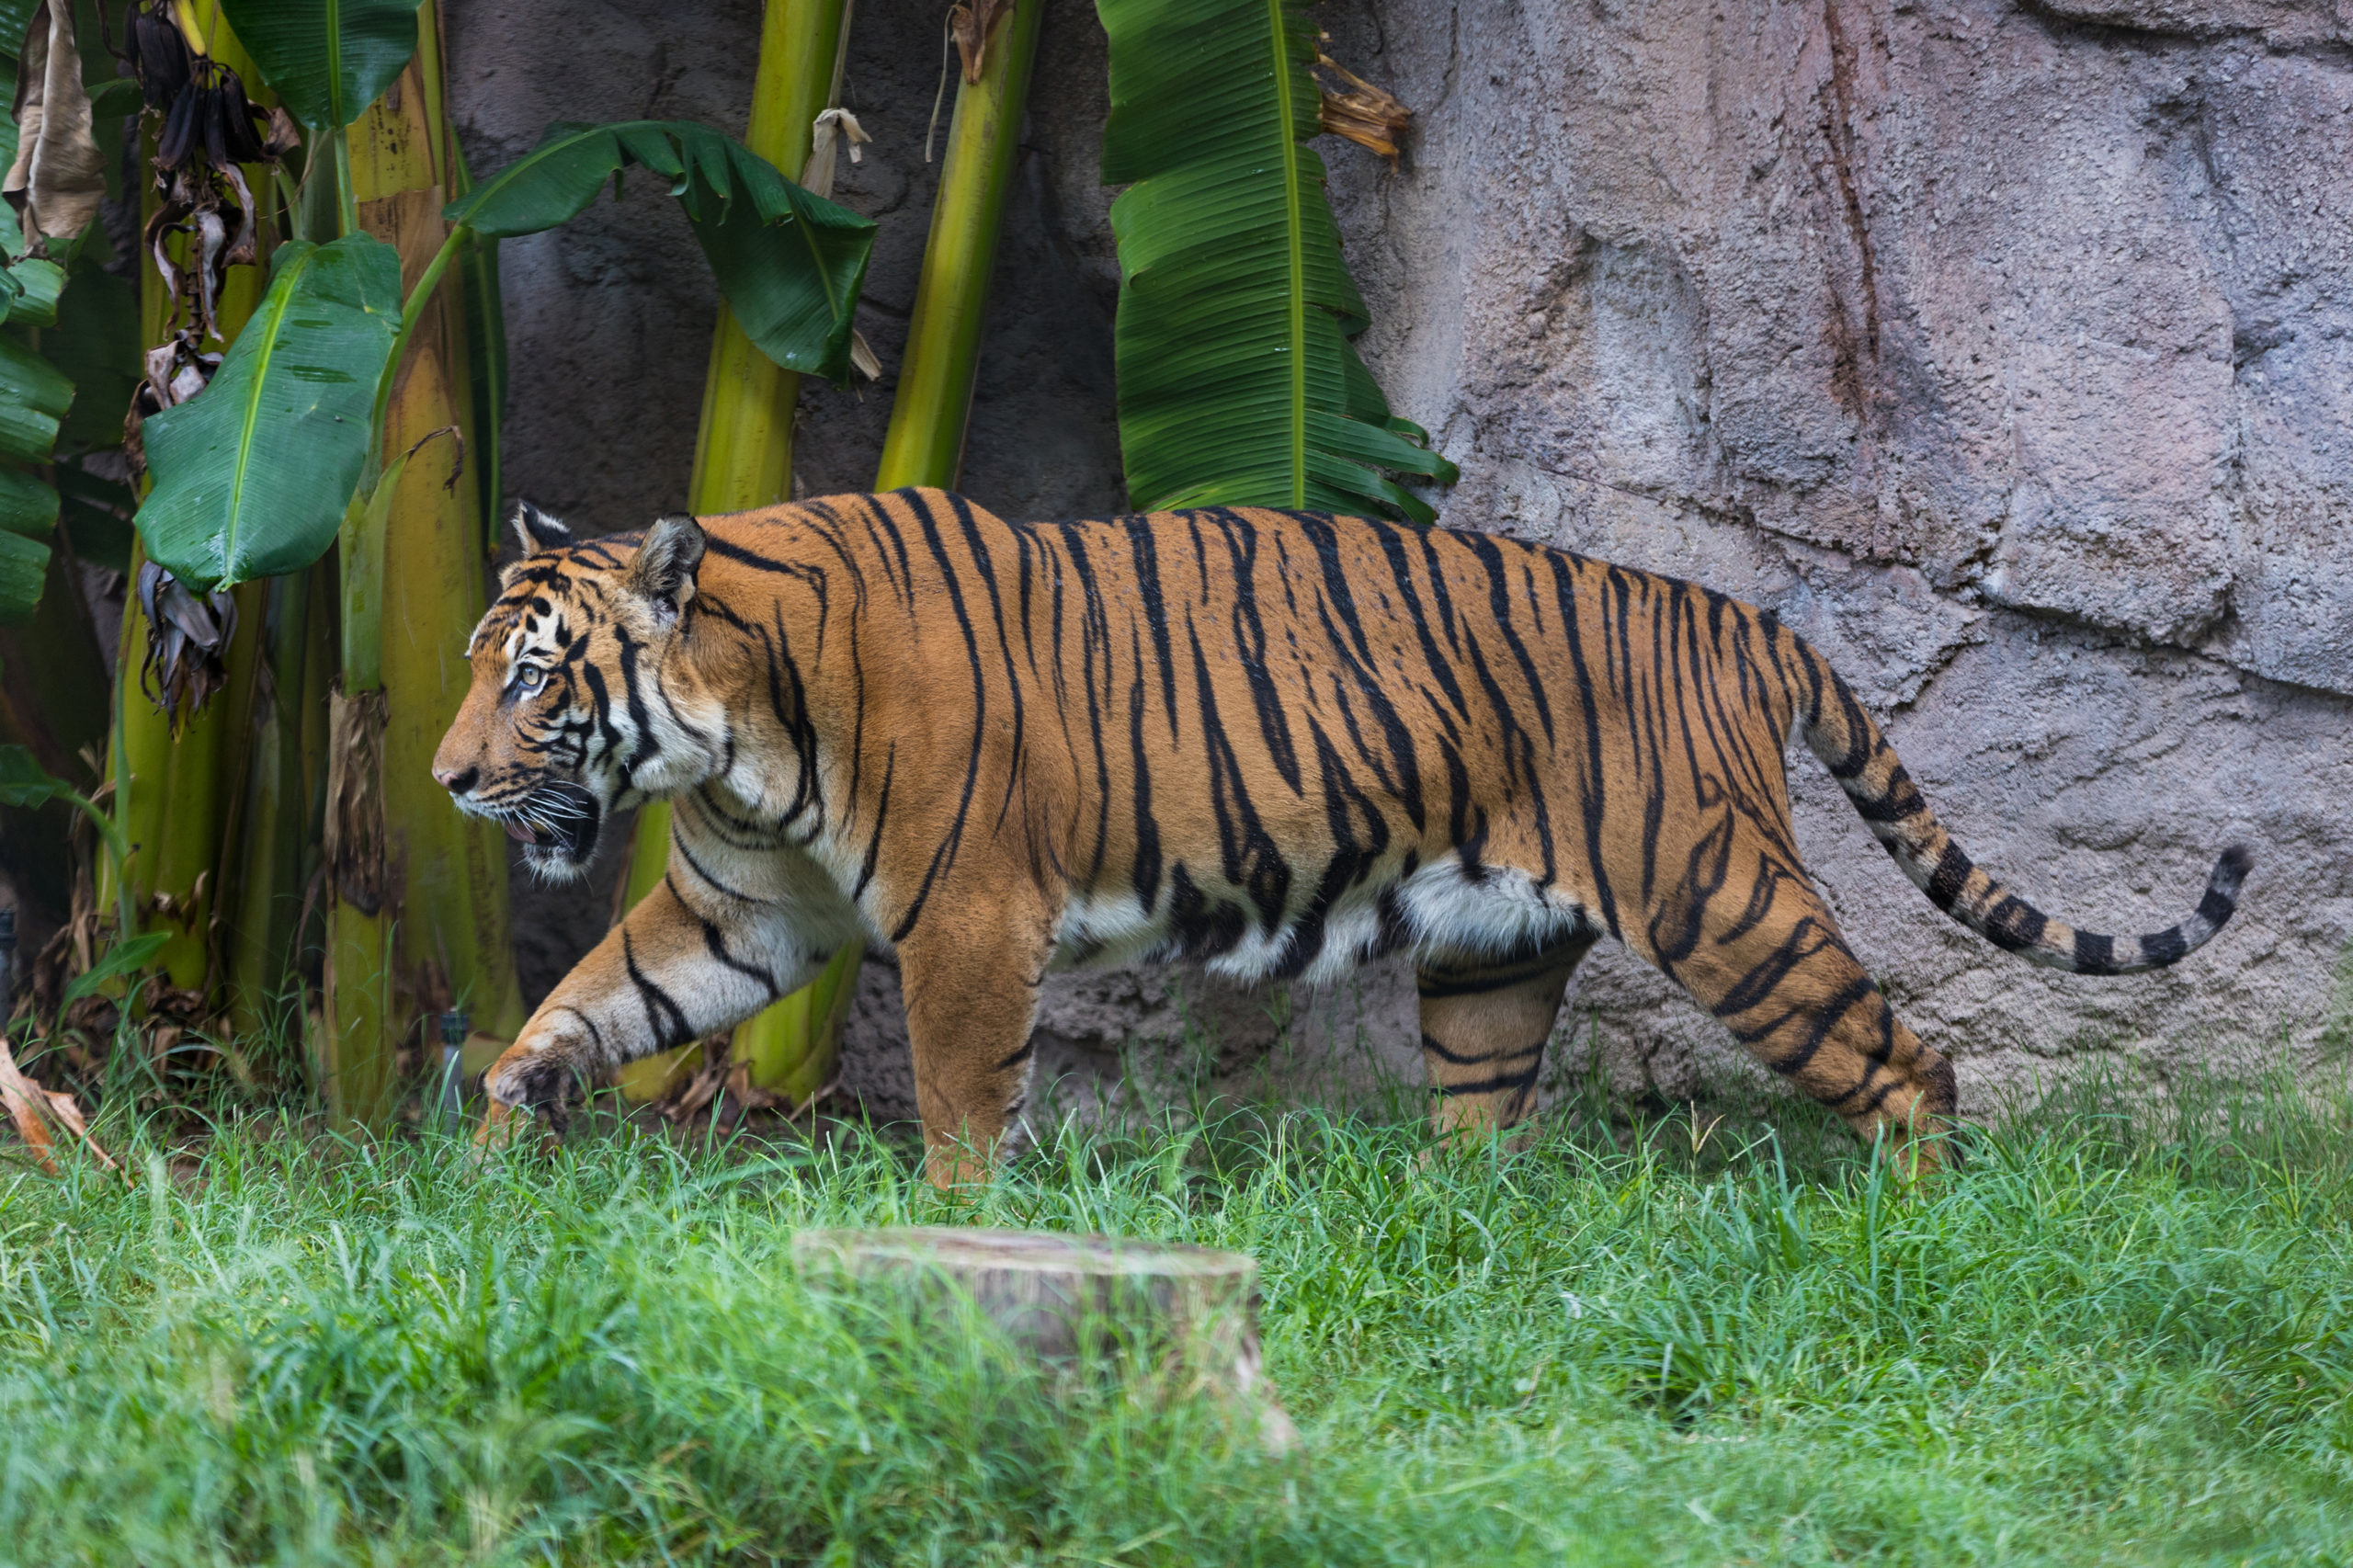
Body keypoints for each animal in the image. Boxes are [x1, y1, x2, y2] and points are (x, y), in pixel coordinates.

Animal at [432, 488, 2251, 1183]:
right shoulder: (744, 912)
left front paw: (937, 1228)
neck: (737, 738)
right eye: (473, 669)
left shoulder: (968, 927)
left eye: (531, 682)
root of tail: (1745, 619)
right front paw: (502, 1134)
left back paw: (1908, 1220)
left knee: (1905, 1060)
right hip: (1498, 951)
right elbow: (591, 1005)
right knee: (1484, 1125)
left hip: (1721, 898)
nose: (446, 780)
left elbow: (960, 1104)